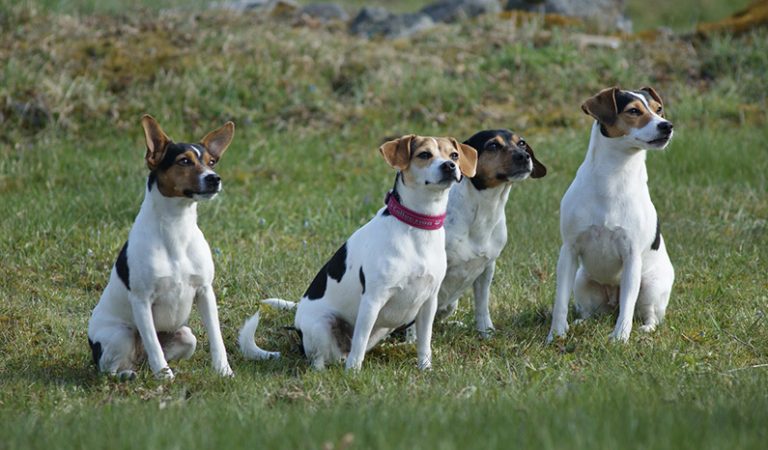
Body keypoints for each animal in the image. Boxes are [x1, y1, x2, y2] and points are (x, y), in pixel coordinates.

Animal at [86, 114, 234, 378]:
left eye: (212, 162)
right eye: (184, 161)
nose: (214, 178)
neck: (176, 227)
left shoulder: (205, 291)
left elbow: (217, 338)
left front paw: (223, 370)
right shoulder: (141, 301)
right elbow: (154, 345)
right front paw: (165, 377)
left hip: (186, 336)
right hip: (120, 334)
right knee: (110, 367)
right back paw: (126, 375)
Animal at [240, 134, 476, 370]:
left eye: (454, 155)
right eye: (424, 154)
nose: (450, 166)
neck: (416, 226)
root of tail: (299, 338)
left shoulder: (429, 302)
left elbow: (424, 343)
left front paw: (425, 369)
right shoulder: (372, 300)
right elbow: (359, 344)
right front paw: (353, 372)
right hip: (322, 324)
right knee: (321, 359)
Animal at [436, 128, 548, 336]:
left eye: (521, 143)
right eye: (493, 145)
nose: (524, 156)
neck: (484, 212)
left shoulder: (487, 267)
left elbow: (482, 305)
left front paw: (485, 332)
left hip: (451, 305)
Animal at [548, 86, 676, 342]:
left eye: (658, 109)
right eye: (634, 111)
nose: (667, 125)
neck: (614, 176)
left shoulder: (632, 256)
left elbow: (628, 306)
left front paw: (619, 338)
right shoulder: (569, 250)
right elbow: (560, 302)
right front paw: (556, 335)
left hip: (651, 286)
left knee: (648, 314)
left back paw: (645, 329)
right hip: (582, 280)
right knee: (591, 312)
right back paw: (580, 322)